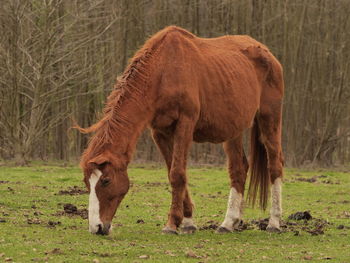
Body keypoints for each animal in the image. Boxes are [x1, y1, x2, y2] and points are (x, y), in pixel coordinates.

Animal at [76, 26, 284, 237]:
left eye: (106, 181)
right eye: (87, 182)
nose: (96, 227)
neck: (163, 72)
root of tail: (268, 55)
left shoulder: (185, 124)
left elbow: (177, 174)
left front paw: (171, 224)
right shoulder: (159, 132)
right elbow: (172, 172)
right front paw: (187, 222)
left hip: (269, 119)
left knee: (275, 165)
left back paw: (273, 222)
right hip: (233, 130)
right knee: (238, 169)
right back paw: (229, 222)